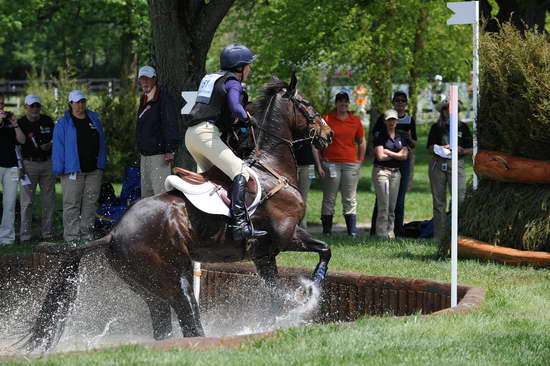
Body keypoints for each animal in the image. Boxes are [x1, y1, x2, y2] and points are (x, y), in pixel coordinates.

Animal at [21, 74, 334, 352]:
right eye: (306, 104)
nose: (328, 134)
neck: (272, 168)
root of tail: (113, 232)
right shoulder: (285, 236)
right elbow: (321, 252)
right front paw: (309, 290)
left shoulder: (264, 254)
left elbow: (284, 283)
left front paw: (292, 305)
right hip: (173, 278)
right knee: (189, 320)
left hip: (150, 288)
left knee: (164, 326)